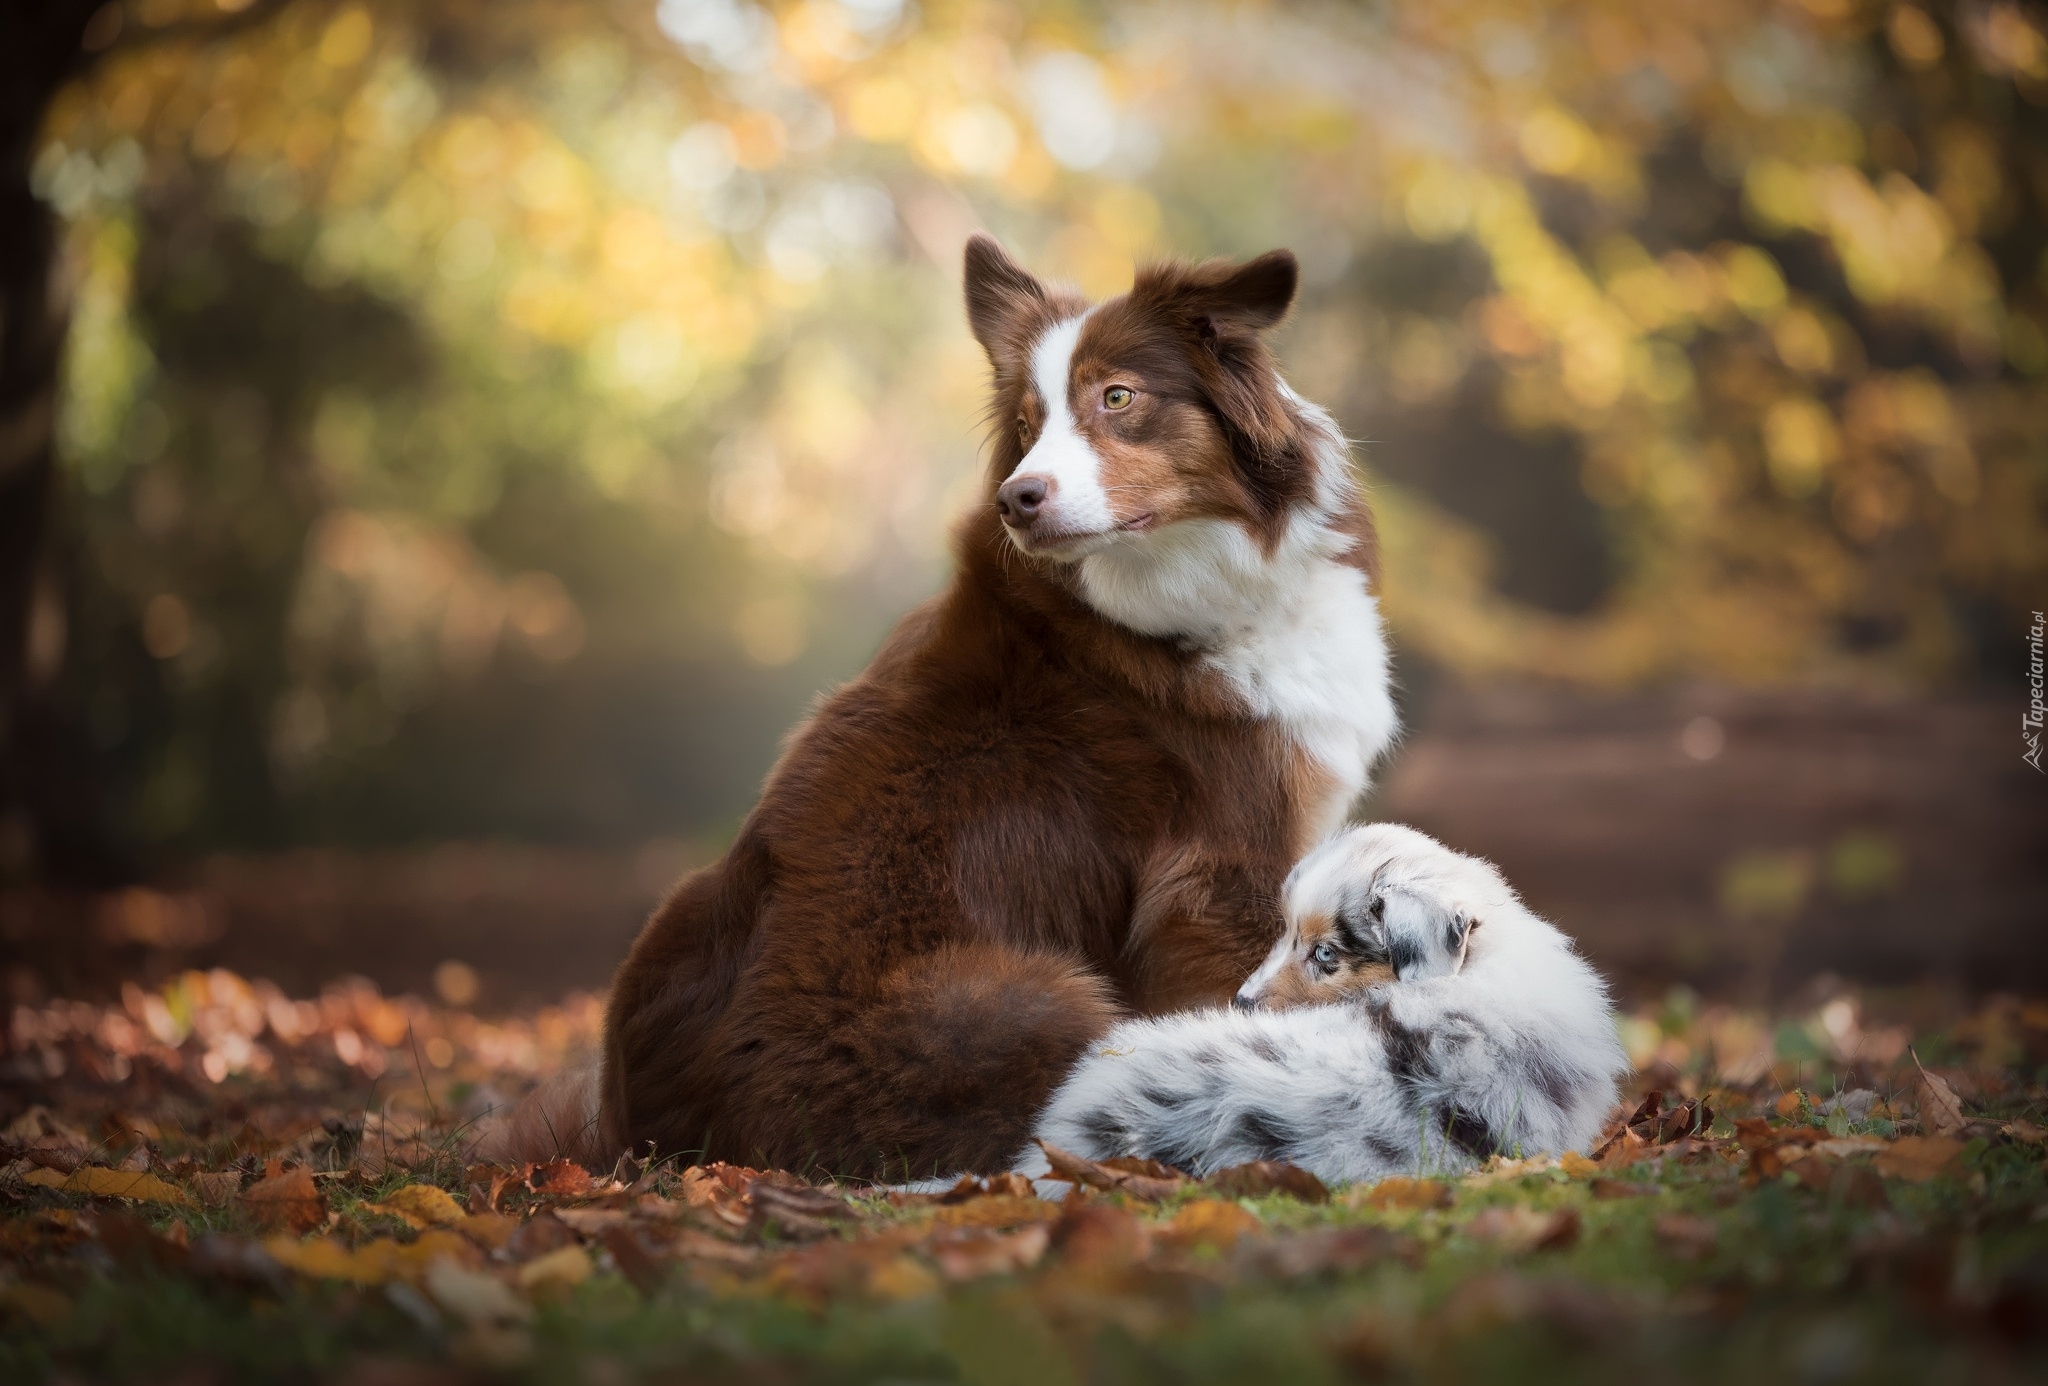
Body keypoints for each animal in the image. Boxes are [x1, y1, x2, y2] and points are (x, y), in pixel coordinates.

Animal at [516, 235, 1409, 1179]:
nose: (1019, 498)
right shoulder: (1222, 871)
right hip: (1028, 999)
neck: (1169, 598)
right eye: (1025, 424)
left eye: (1117, 397)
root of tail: (677, 1144)